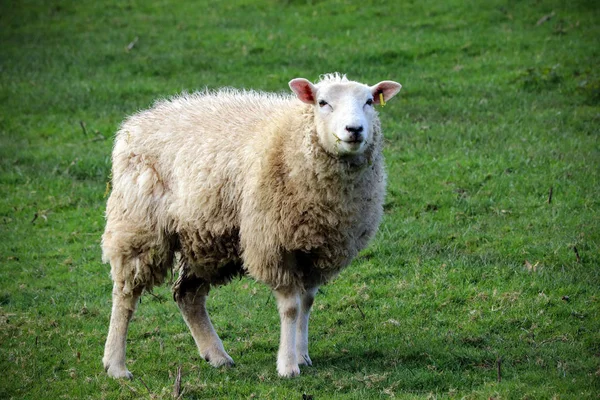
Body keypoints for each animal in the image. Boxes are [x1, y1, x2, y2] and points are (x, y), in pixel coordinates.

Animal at [102, 72, 404, 378]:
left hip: (204, 238)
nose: (354, 129)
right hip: (138, 226)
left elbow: (307, 303)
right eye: (322, 102)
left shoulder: (316, 250)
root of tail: (138, 121)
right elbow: (291, 308)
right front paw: (288, 365)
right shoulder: (274, 245)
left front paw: (302, 354)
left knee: (188, 295)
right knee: (125, 296)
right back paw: (116, 365)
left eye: (369, 102)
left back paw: (216, 355)